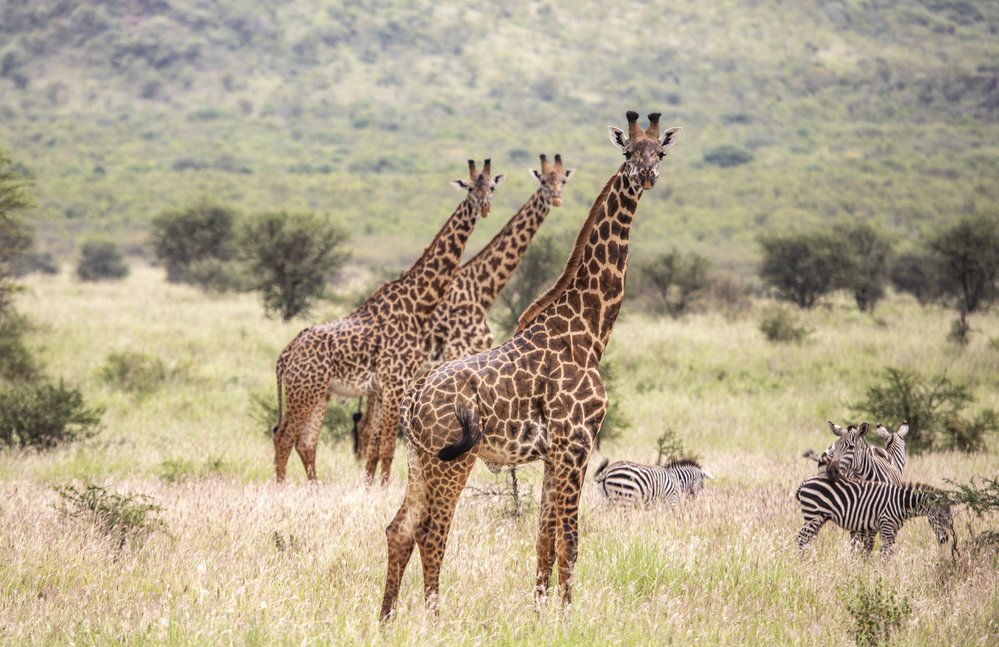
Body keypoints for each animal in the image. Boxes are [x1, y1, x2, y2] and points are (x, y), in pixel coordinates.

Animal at [378, 112, 684, 624]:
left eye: (659, 151)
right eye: (628, 152)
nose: (647, 176)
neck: (588, 333)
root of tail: (413, 399)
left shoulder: (551, 454)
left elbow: (544, 541)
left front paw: (541, 614)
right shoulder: (576, 444)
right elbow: (571, 542)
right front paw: (568, 617)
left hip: (417, 459)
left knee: (398, 529)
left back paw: (386, 620)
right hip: (451, 459)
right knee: (431, 532)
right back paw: (435, 619)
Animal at [792, 474, 956, 560]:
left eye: (949, 517)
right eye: (939, 516)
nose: (944, 540)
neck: (901, 504)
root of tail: (806, 482)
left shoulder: (893, 529)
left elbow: (889, 550)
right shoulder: (886, 524)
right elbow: (885, 551)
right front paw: (884, 573)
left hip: (819, 518)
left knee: (807, 540)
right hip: (813, 515)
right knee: (801, 538)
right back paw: (802, 562)